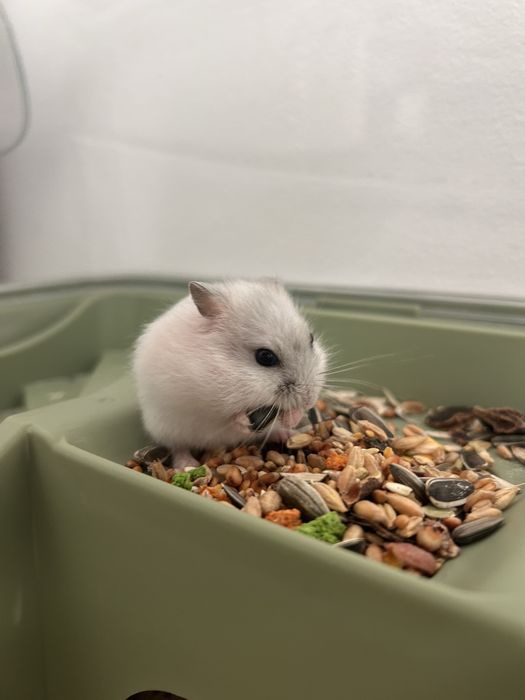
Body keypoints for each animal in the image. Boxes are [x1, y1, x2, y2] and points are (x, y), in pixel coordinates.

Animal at [132, 279, 327, 470]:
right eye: (265, 357)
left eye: (311, 339)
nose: (310, 400)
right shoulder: (205, 400)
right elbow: (231, 416)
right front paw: (245, 423)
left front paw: (293, 419)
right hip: (166, 427)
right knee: (178, 447)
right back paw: (188, 465)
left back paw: (288, 435)